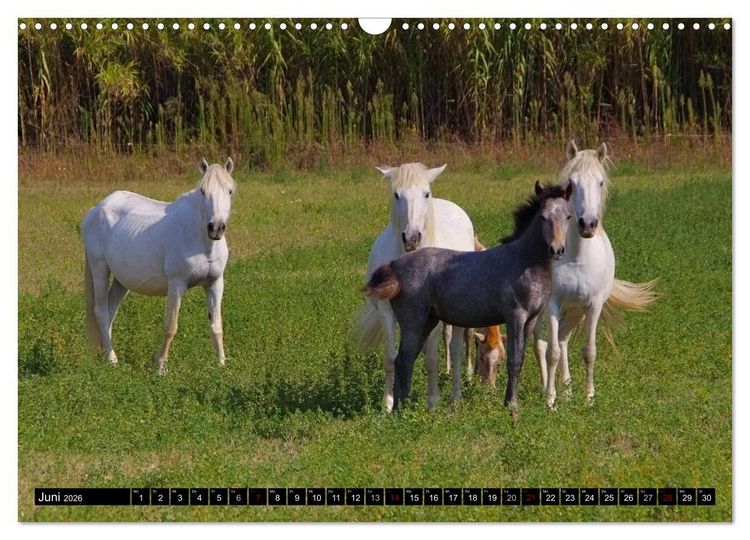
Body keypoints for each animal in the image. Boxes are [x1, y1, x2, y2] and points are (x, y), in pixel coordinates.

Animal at [82, 157, 236, 374]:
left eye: (229, 191)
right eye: (203, 191)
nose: (216, 228)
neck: (201, 239)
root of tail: (94, 210)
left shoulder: (215, 283)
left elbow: (216, 325)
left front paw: (221, 365)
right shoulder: (177, 284)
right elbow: (171, 326)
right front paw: (160, 367)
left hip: (122, 280)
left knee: (110, 310)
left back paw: (106, 353)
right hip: (99, 269)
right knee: (102, 312)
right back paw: (112, 359)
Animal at [356, 163, 475, 411]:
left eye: (426, 194)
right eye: (396, 194)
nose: (412, 238)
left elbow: (432, 359)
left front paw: (432, 404)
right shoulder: (387, 312)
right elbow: (391, 359)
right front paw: (388, 405)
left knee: (457, 350)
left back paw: (455, 398)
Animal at [363, 181, 573, 415]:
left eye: (568, 216)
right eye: (543, 217)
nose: (557, 250)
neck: (524, 262)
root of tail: (394, 266)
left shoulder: (531, 319)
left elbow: (519, 359)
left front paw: (510, 403)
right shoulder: (515, 317)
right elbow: (514, 360)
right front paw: (513, 408)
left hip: (428, 322)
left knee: (405, 359)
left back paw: (402, 406)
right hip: (413, 322)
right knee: (404, 359)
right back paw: (403, 410)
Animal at [534, 141, 658, 408]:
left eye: (601, 182)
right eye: (572, 183)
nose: (587, 224)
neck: (578, 258)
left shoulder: (593, 305)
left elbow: (589, 351)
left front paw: (589, 398)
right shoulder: (552, 305)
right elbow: (551, 352)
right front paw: (550, 401)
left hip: (575, 312)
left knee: (563, 338)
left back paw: (567, 389)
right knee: (541, 343)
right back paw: (548, 387)